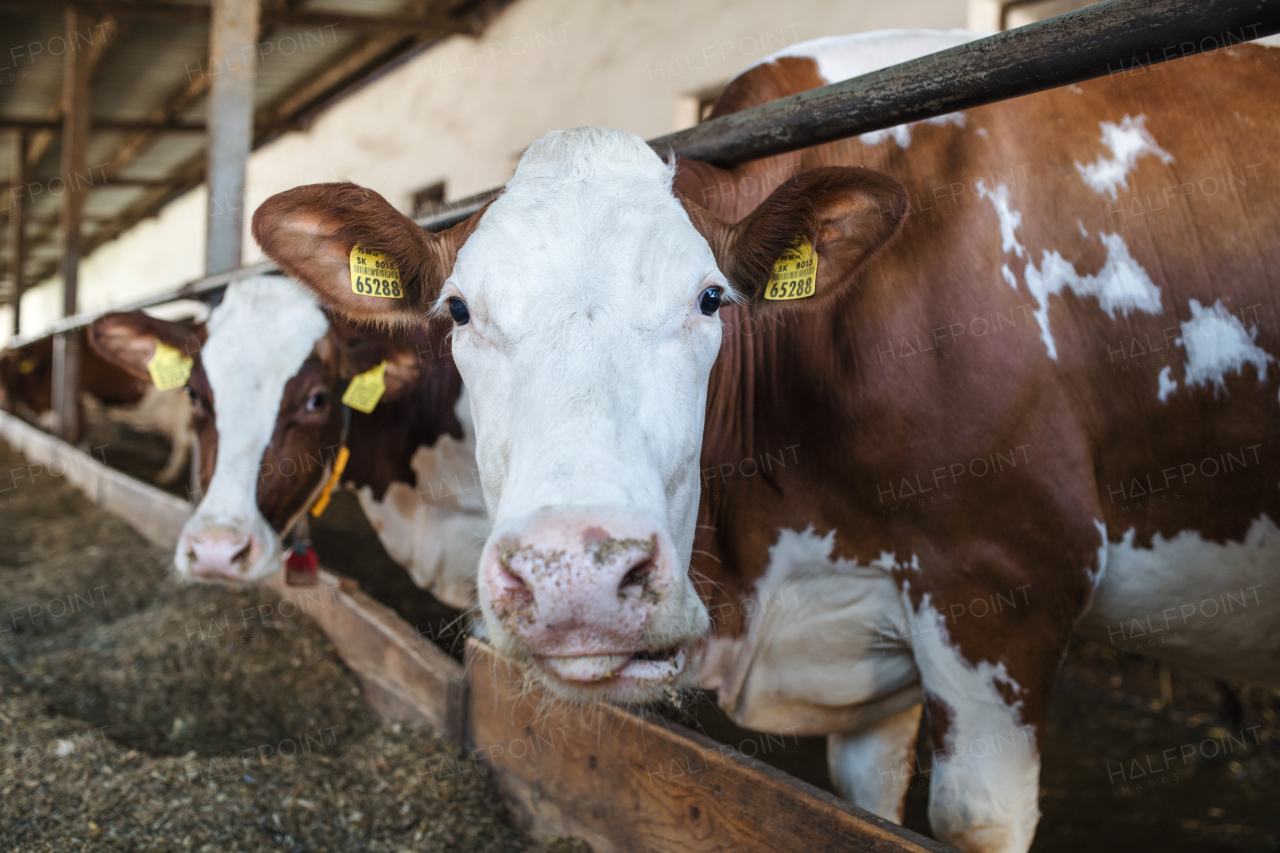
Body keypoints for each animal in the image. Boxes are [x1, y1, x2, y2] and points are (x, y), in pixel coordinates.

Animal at [1, 325, 198, 481]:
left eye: (6, 372)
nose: (3, 401)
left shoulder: (75, 394)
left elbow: (79, 427)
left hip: (184, 405)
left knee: (183, 441)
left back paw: (166, 476)